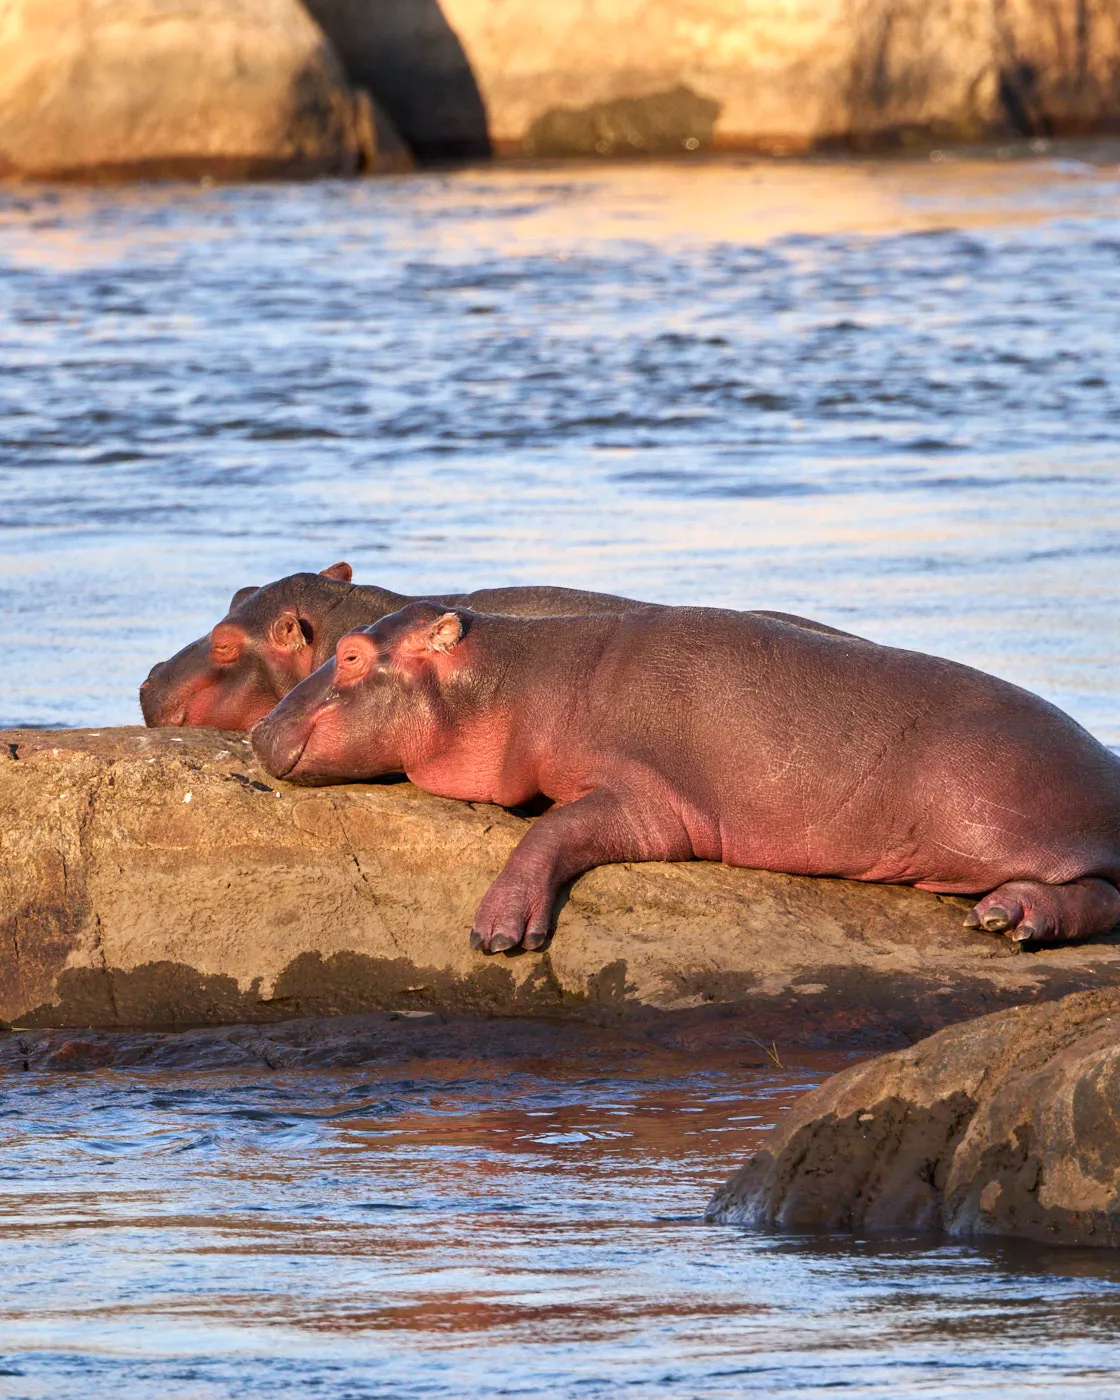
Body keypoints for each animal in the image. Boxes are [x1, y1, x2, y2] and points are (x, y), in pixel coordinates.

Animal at [250, 602, 1120, 951]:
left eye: (351, 655)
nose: (256, 728)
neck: (516, 681)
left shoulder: (649, 802)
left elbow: (554, 829)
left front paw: (497, 933)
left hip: (994, 821)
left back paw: (1010, 918)